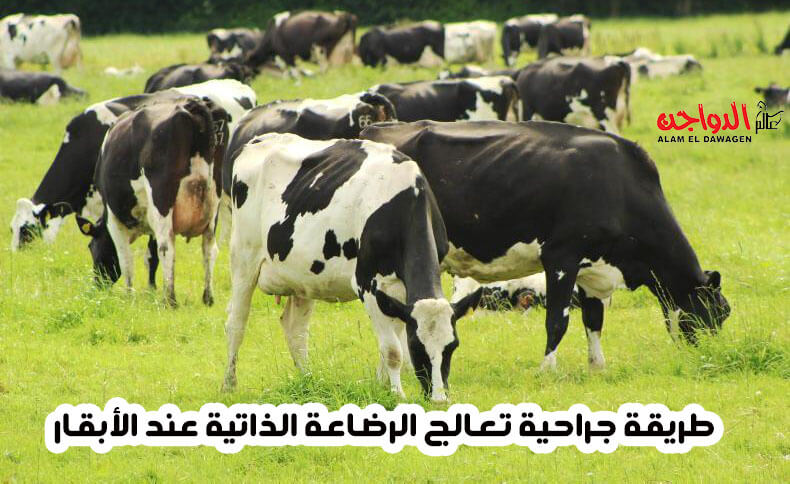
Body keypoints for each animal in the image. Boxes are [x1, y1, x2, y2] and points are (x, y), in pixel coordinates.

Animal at [75, 97, 230, 307]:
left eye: (91, 247)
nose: (98, 285)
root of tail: (193, 104)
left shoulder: (114, 218)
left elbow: (126, 259)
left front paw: (129, 295)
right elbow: (150, 256)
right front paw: (150, 289)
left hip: (161, 199)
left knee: (167, 247)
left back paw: (170, 300)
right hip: (213, 202)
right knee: (209, 248)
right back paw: (208, 298)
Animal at [222, 133, 481, 401]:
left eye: (453, 346)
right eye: (417, 347)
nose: (439, 399)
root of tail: (260, 139)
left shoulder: (399, 292)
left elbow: (391, 340)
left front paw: (383, 387)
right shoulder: (369, 284)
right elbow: (393, 350)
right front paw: (397, 394)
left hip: (302, 277)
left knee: (296, 329)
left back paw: (309, 381)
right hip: (243, 258)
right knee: (236, 322)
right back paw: (229, 385)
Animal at [361, 120, 731, 371]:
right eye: (714, 312)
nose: (711, 357)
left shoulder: (593, 268)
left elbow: (594, 320)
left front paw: (597, 366)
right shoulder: (562, 258)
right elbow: (558, 320)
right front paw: (547, 369)